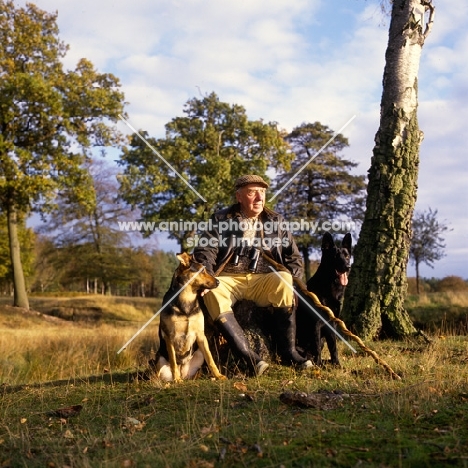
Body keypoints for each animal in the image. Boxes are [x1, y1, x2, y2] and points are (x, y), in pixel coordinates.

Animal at [154, 252, 227, 380]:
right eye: (202, 271)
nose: (218, 282)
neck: (187, 298)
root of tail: (183, 372)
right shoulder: (169, 336)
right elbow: (173, 361)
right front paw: (177, 380)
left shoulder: (201, 335)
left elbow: (210, 359)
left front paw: (218, 375)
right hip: (159, 358)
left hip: (198, 354)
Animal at [298, 233, 352, 366]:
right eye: (335, 256)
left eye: (347, 256)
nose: (348, 267)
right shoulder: (316, 323)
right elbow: (316, 347)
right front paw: (319, 366)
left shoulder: (332, 323)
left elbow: (333, 346)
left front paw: (336, 364)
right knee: (308, 353)